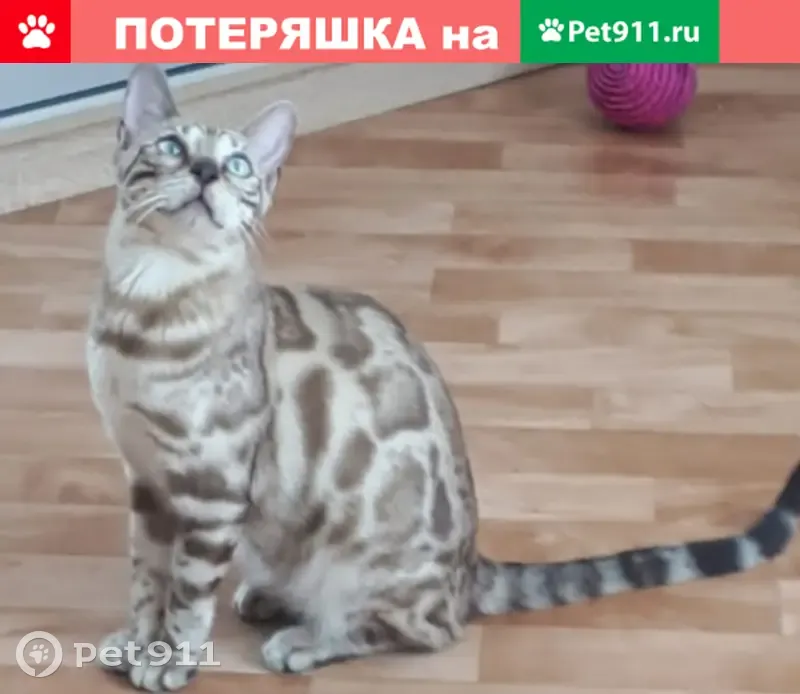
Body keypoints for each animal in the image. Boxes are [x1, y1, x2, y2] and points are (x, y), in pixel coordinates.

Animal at [86, 63, 800, 692]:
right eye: (172, 147)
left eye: (237, 165)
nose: (206, 170)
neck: (145, 309)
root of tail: (470, 566)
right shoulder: (147, 478)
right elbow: (147, 578)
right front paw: (136, 642)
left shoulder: (211, 488)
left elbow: (186, 596)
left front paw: (170, 662)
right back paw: (267, 597)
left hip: (356, 567)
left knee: (421, 629)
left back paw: (305, 639)